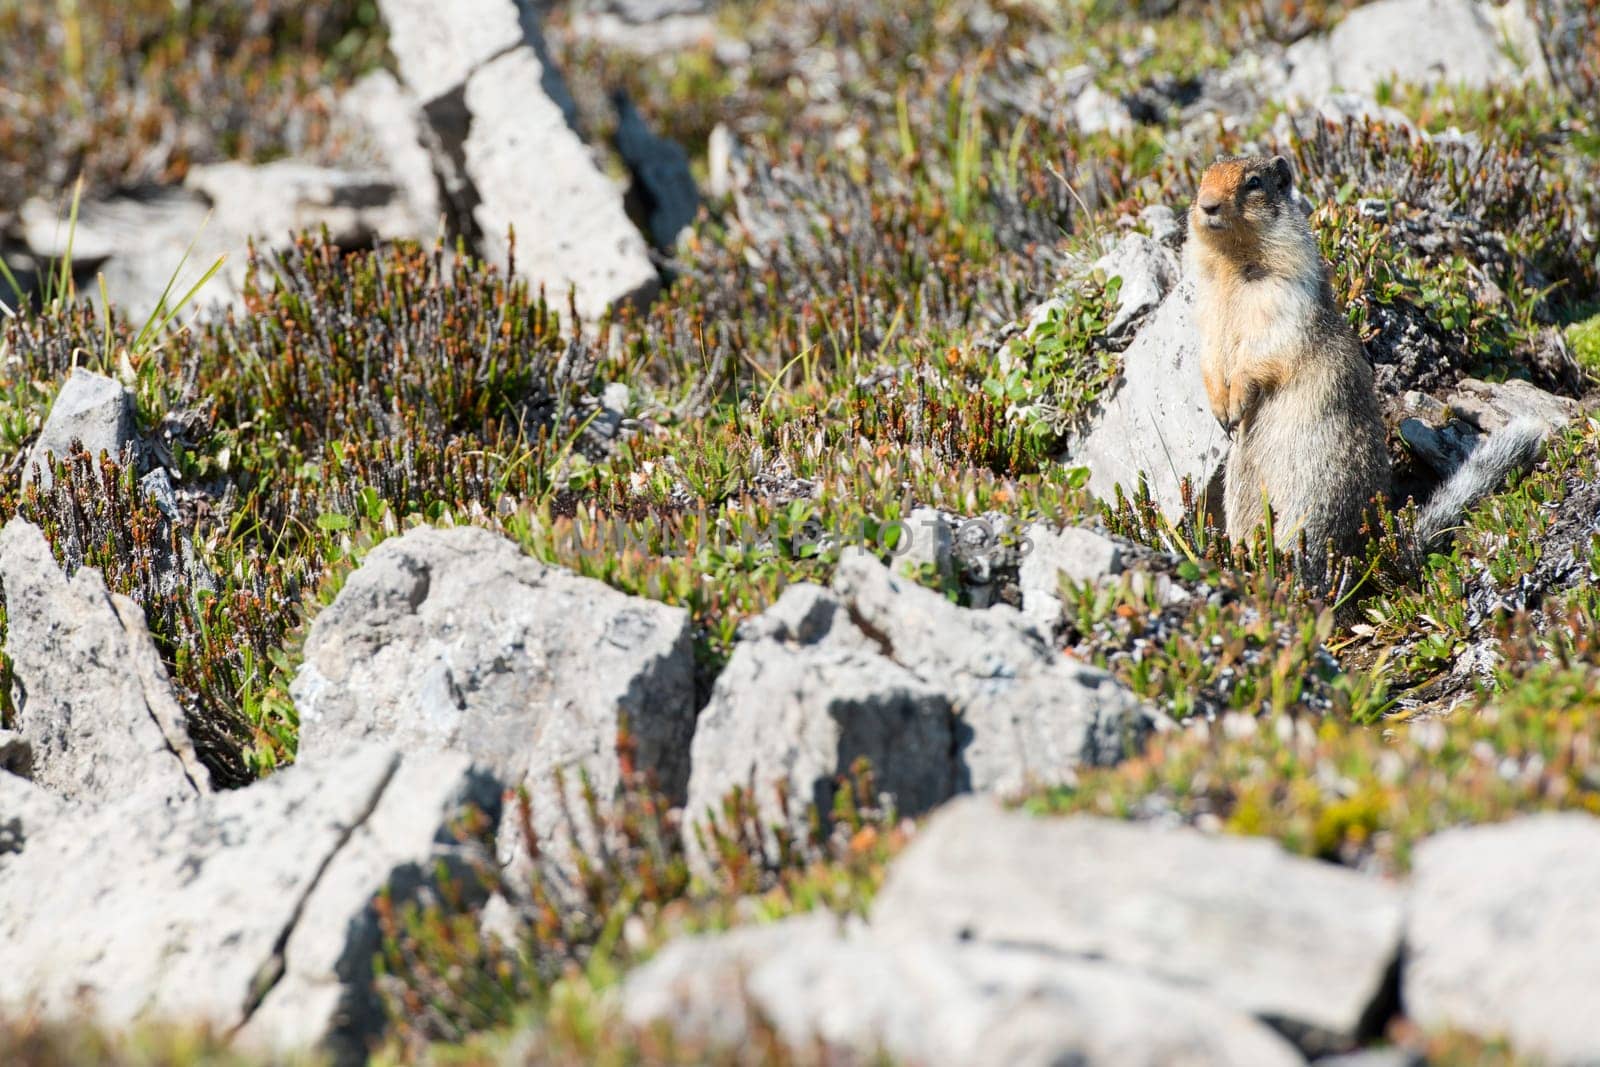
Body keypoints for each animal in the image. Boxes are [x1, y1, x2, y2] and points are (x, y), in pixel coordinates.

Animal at [1184, 154, 1542, 572]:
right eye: (1202, 178)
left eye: (1254, 182)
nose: (1207, 204)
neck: (1232, 266)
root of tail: (1381, 552)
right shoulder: (1208, 308)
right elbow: (1210, 355)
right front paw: (1220, 408)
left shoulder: (1284, 302)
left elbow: (1265, 351)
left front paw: (1237, 400)